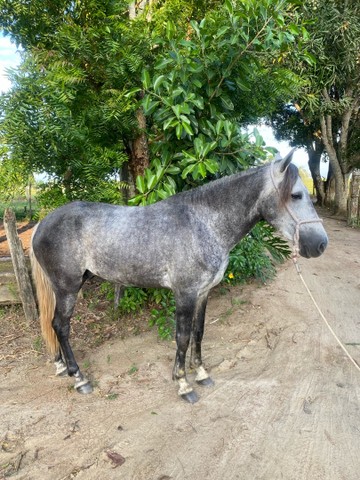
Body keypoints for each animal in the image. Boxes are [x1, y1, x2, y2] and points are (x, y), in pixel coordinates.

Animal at [31, 150, 330, 402]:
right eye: (295, 195)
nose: (320, 244)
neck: (203, 223)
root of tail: (41, 223)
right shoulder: (185, 293)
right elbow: (183, 336)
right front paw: (183, 384)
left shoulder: (203, 292)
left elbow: (199, 332)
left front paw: (201, 373)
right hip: (68, 287)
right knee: (61, 326)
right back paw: (79, 378)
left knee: (52, 324)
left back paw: (61, 366)